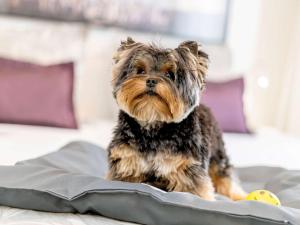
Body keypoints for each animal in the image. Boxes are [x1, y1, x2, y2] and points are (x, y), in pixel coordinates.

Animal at [107, 37, 246, 200]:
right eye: (141, 71)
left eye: (169, 74)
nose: (151, 80)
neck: (153, 123)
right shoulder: (128, 163)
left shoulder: (186, 169)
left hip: (217, 153)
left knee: (224, 176)